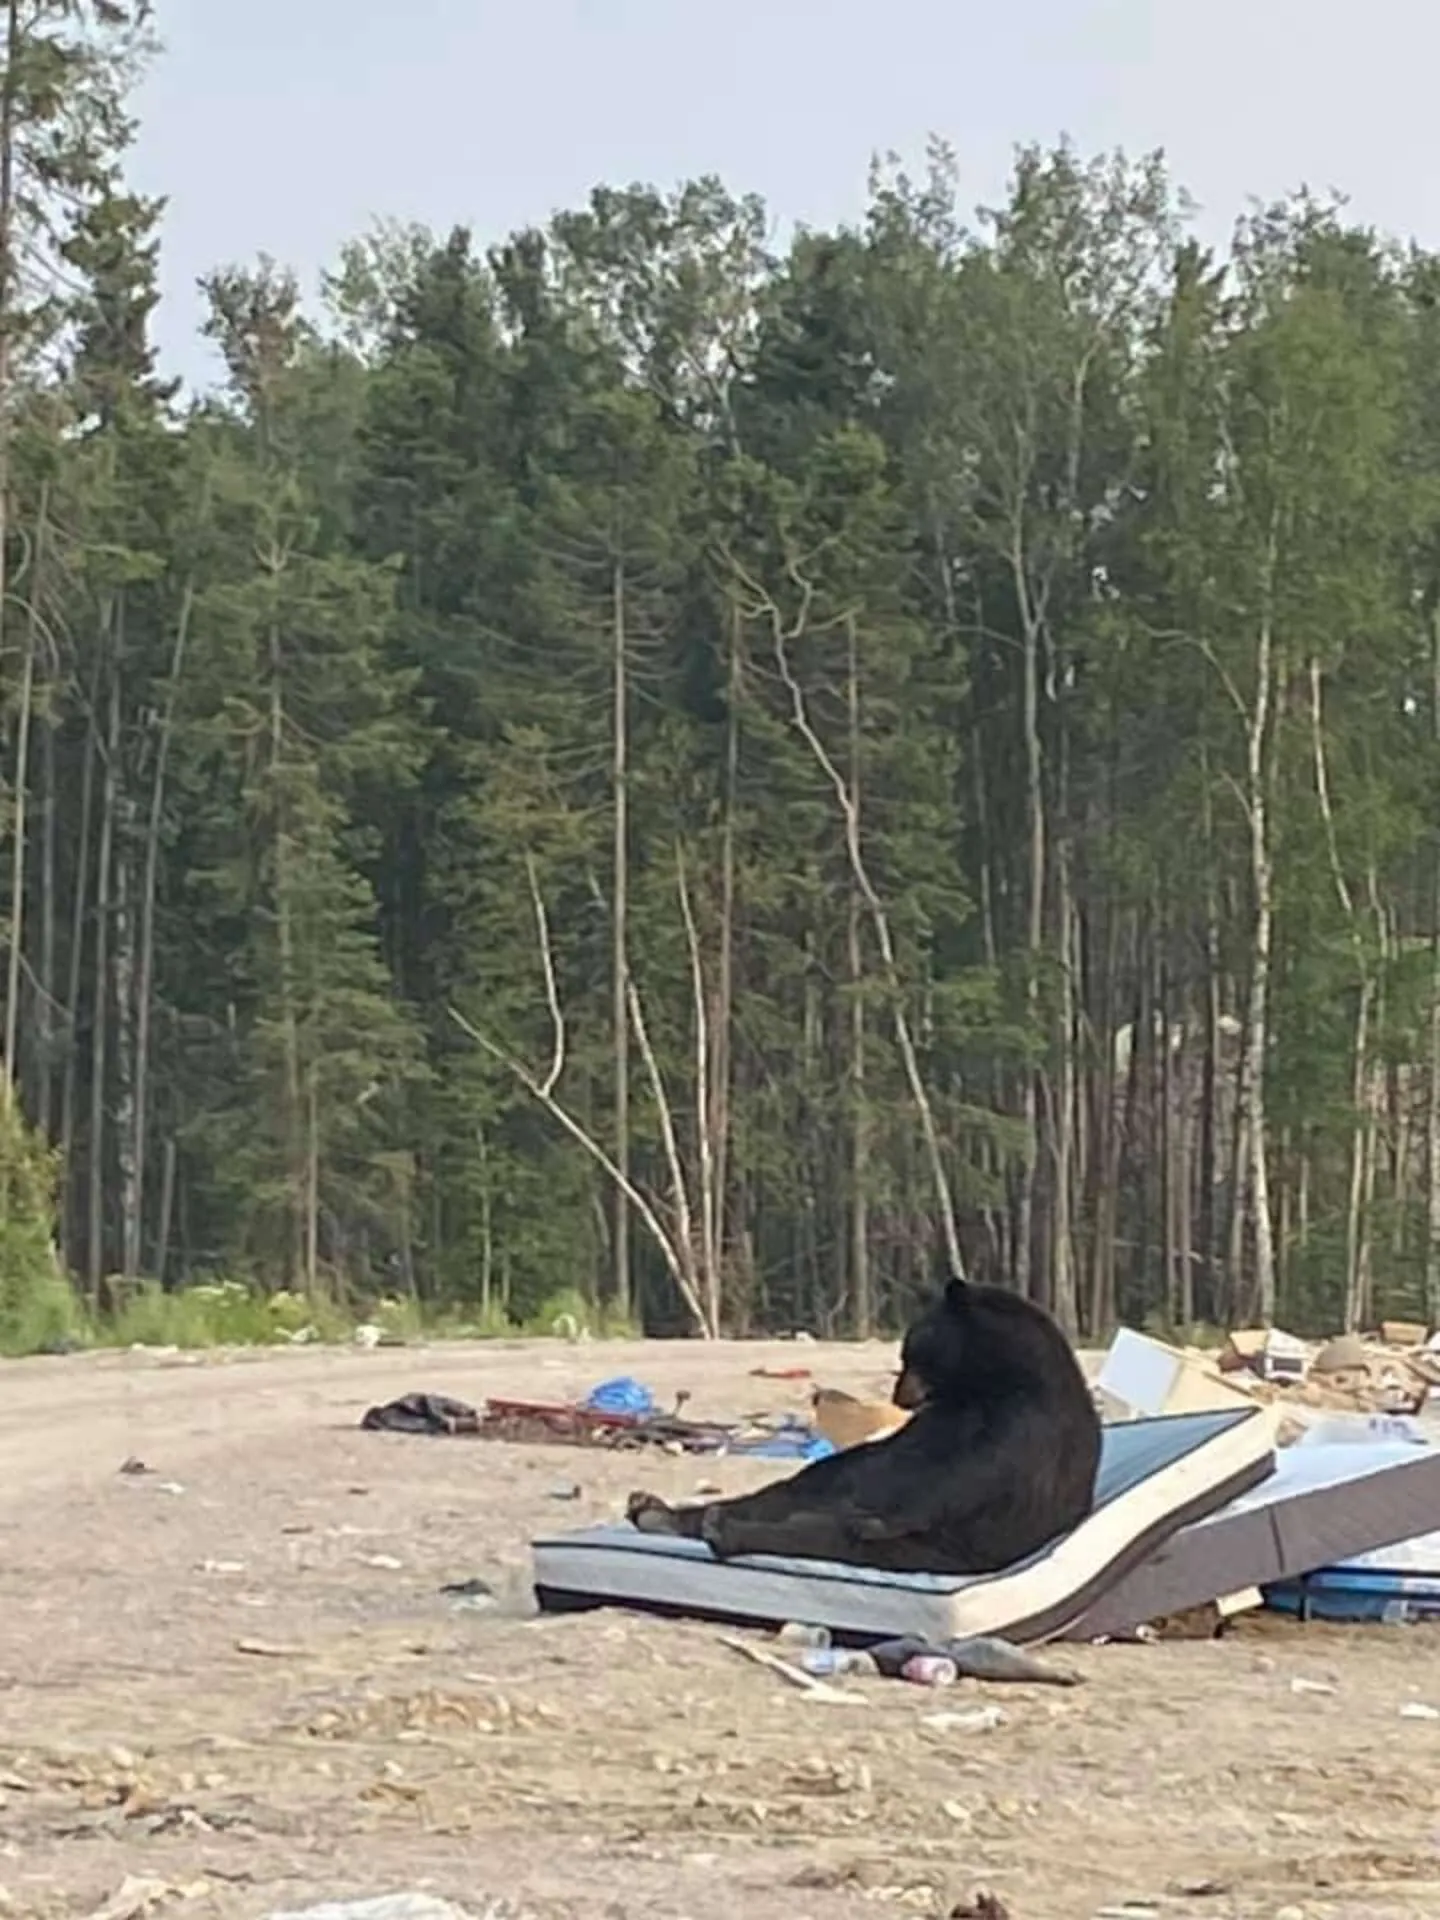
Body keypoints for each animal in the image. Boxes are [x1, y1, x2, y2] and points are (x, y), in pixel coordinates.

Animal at [625, 1274, 1098, 1574]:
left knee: (826, 1535)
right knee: (784, 1495)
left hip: (938, 1548)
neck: (992, 1381)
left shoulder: (1027, 1427)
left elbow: (964, 1477)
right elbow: (881, 1461)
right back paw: (660, 1512)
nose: (899, 1396)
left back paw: (725, 1529)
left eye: (911, 1351)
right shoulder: (934, 1425)